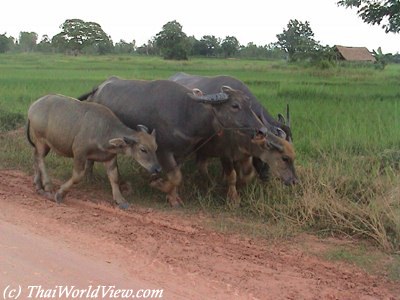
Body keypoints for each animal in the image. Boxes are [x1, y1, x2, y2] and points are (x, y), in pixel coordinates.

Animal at [26, 94, 162, 209]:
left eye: (155, 148)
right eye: (143, 149)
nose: (157, 169)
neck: (104, 131)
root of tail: (34, 106)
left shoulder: (110, 157)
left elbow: (114, 177)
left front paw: (121, 200)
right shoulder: (79, 152)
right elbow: (77, 176)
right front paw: (60, 193)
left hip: (42, 143)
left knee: (35, 156)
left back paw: (38, 184)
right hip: (41, 139)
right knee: (40, 159)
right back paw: (47, 185)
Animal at [77, 77, 266, 206]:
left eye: (249, 104)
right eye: (235, 106)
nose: (262, 131)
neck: (188, 113)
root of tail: (98, 89)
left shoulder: (182, 153)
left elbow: (177, 175)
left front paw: (173, 197)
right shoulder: (163, 151)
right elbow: (174, 176)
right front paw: (159, 184)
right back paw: (91, 177)